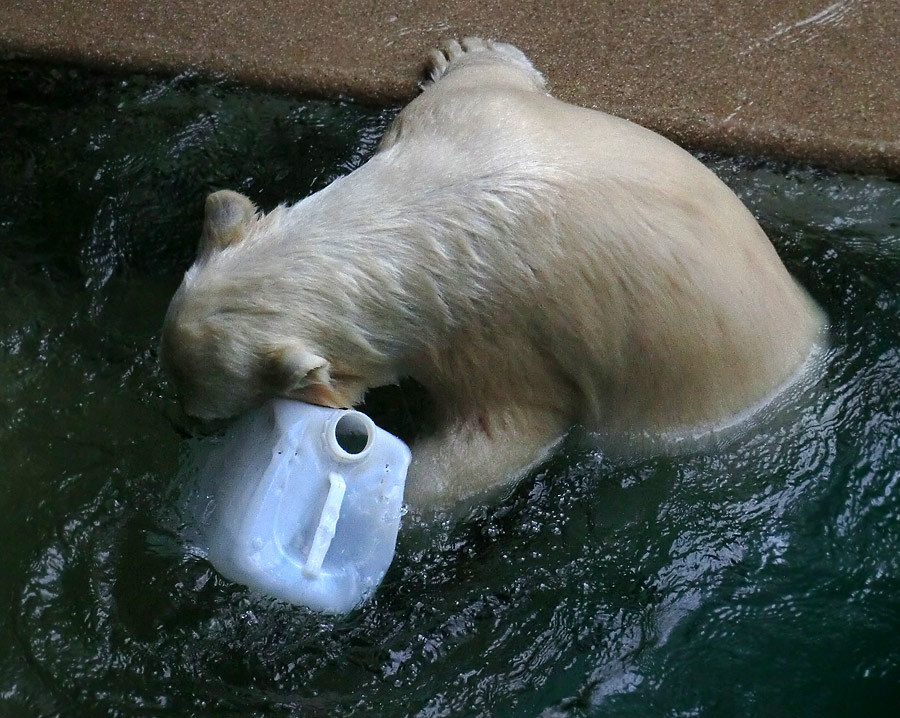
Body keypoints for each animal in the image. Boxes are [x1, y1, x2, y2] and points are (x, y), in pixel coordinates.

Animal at [160, 39, 824, 510]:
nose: (181, 429)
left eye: (204, 409)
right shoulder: (462, 122)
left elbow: (498, 437)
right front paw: (462, 49)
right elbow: (477, 82)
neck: (410, 222)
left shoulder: (486, 337)